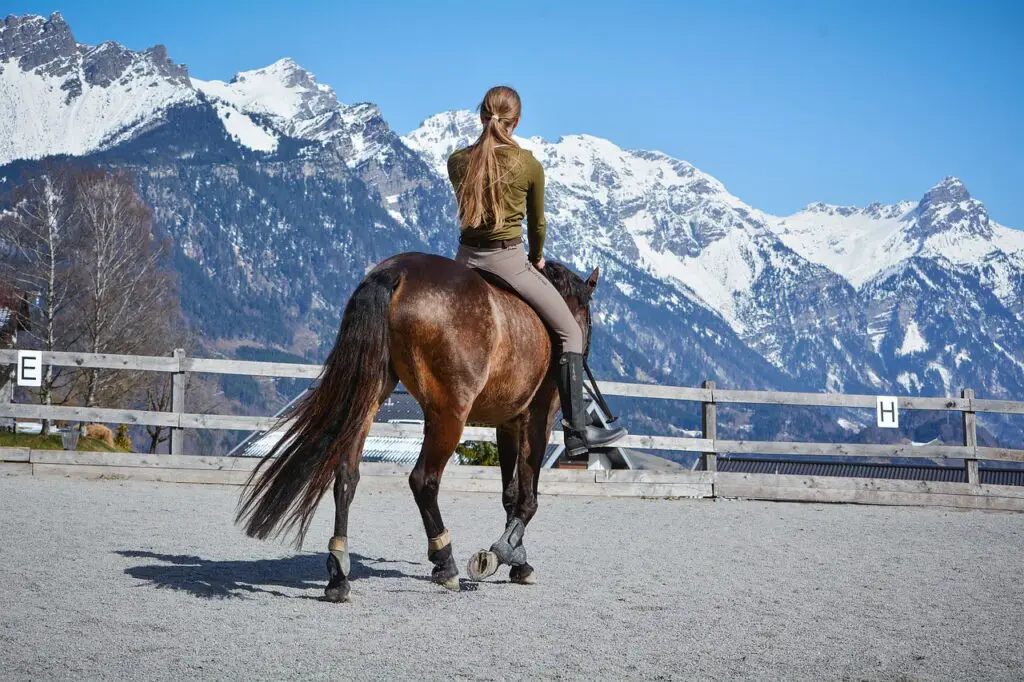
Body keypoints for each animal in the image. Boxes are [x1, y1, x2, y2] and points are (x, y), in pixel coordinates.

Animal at [234, 249, 598, 602]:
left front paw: (513, 557)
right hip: (448, 414)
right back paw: (444, 562)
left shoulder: (507, 423)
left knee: (346, 478)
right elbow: (527, 497)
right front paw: (505, 555)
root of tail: (396, 272)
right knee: (423, 481)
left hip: (368, 398)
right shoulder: (537, 419)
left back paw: (339, 573)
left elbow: (510, 494)